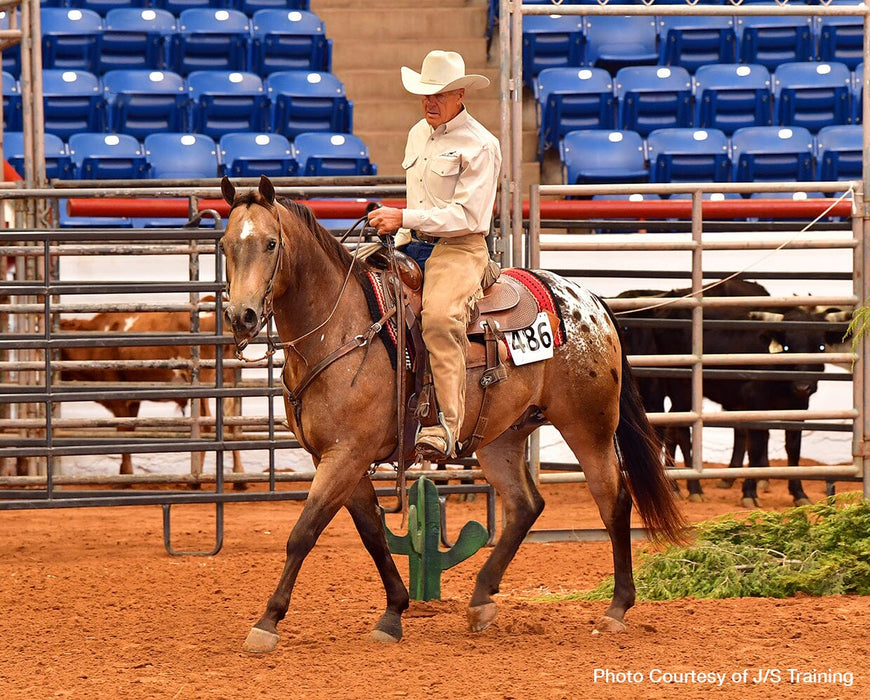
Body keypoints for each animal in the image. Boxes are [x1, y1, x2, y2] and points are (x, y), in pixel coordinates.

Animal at [219, 175, 686, 654]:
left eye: (271, 243)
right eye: (224, 244)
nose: (242, 315)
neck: (340, 328)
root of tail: (590, 300)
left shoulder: (346, 455)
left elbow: (303, 533)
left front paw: (267, 622)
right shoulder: (334, 458)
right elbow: (371, 533)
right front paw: (393, 613)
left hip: (588, 426)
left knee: (614, 500)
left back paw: (616, 607)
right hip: (503, 438)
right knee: (525, 505)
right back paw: (481, 600)